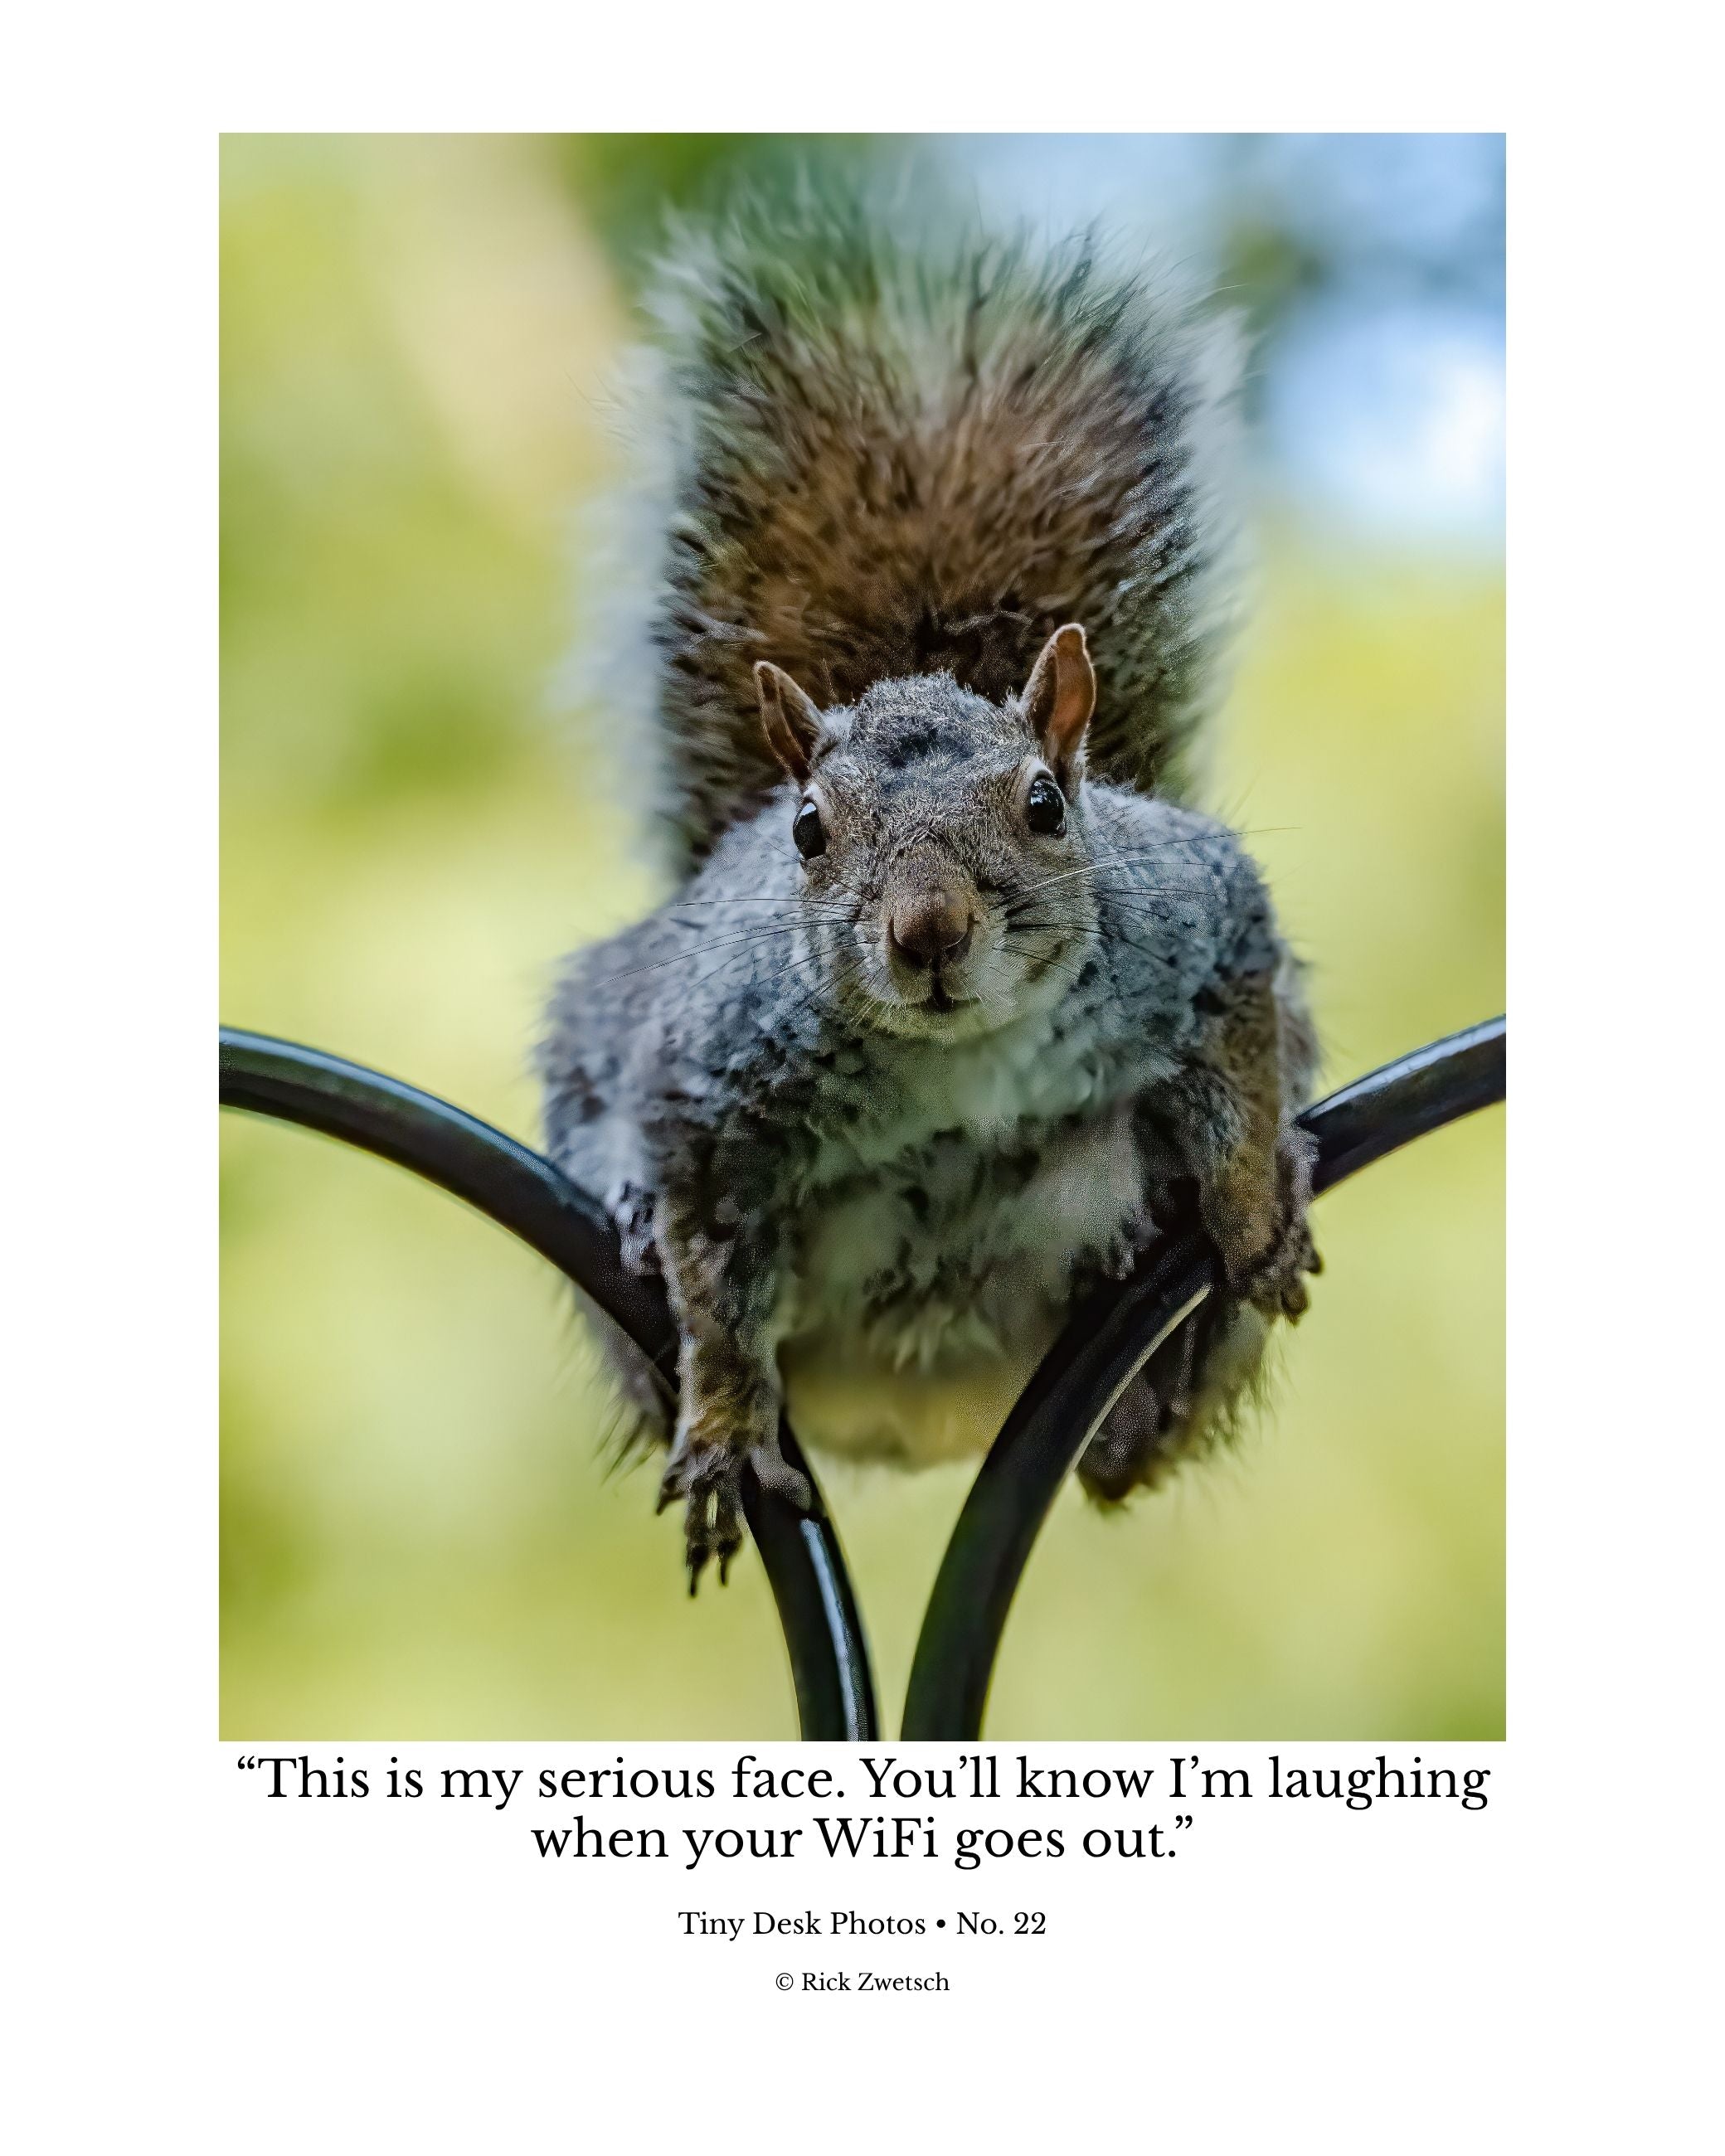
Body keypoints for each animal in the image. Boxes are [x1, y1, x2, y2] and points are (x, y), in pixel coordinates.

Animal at [540, 200, 1321, 1589]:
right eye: (808, 831)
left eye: (1046, 806)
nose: (929, 932)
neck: (960, 1057)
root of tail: (922, 1421)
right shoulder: (712, 1077)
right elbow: (713, 1274)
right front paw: (726, 1424)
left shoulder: (1196, 921)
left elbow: (1234, 1042)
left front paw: (1246, 1212)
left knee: (1132, 1442)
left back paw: (1142, 1391)